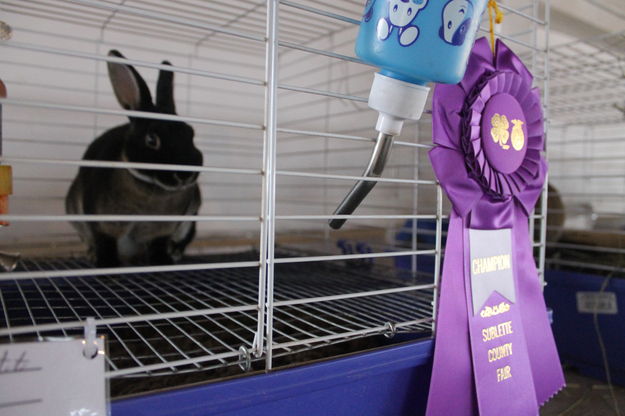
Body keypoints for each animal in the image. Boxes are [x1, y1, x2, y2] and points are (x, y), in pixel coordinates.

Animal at [68, 49, 205, 266]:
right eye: (151, 139)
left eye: (190, 133)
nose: (185, 175)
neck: (152, 190)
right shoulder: (100, 221)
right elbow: (104, 242)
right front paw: (107, 265)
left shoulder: (164, 230)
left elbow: (159, 244)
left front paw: (162, 262)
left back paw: (174, 254)